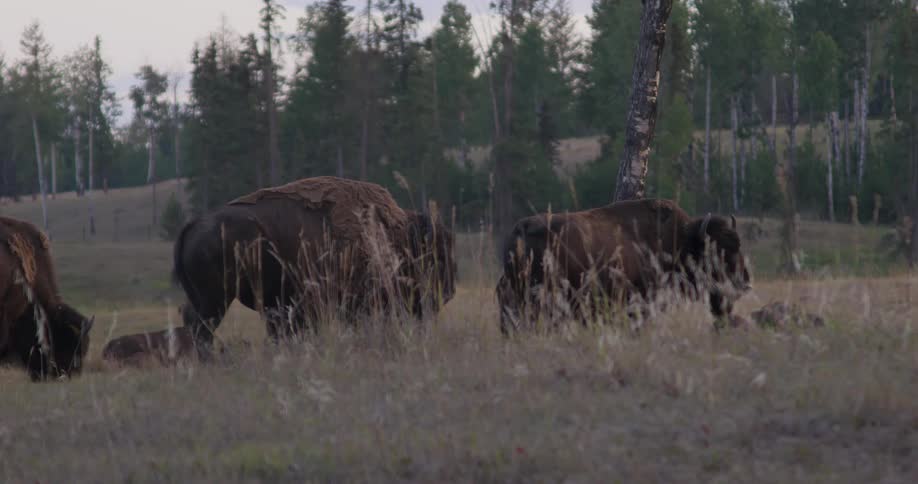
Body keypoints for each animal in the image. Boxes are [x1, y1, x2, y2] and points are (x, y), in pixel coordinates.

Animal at [174, 177, 456, 351]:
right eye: (437, 257)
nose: (448, 292)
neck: (391, 237)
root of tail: (193, 224)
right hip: (216, 299)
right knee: (202, 328)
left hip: (204, 299)